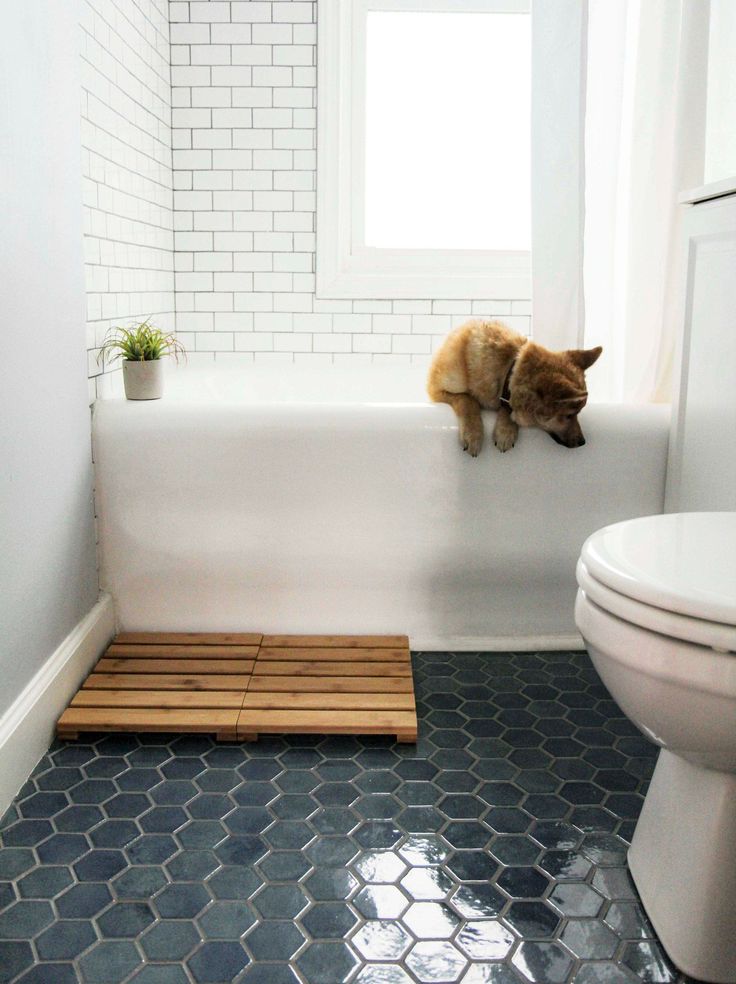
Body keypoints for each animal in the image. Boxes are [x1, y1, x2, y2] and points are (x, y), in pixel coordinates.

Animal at [428, 320, 600, 460]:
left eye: (577, 414)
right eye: (569, 415)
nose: (583, 442)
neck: (508, 371)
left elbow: (507, 408)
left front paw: (505, 430)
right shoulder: (436, 391)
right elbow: (467, 399)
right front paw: (473, 433)